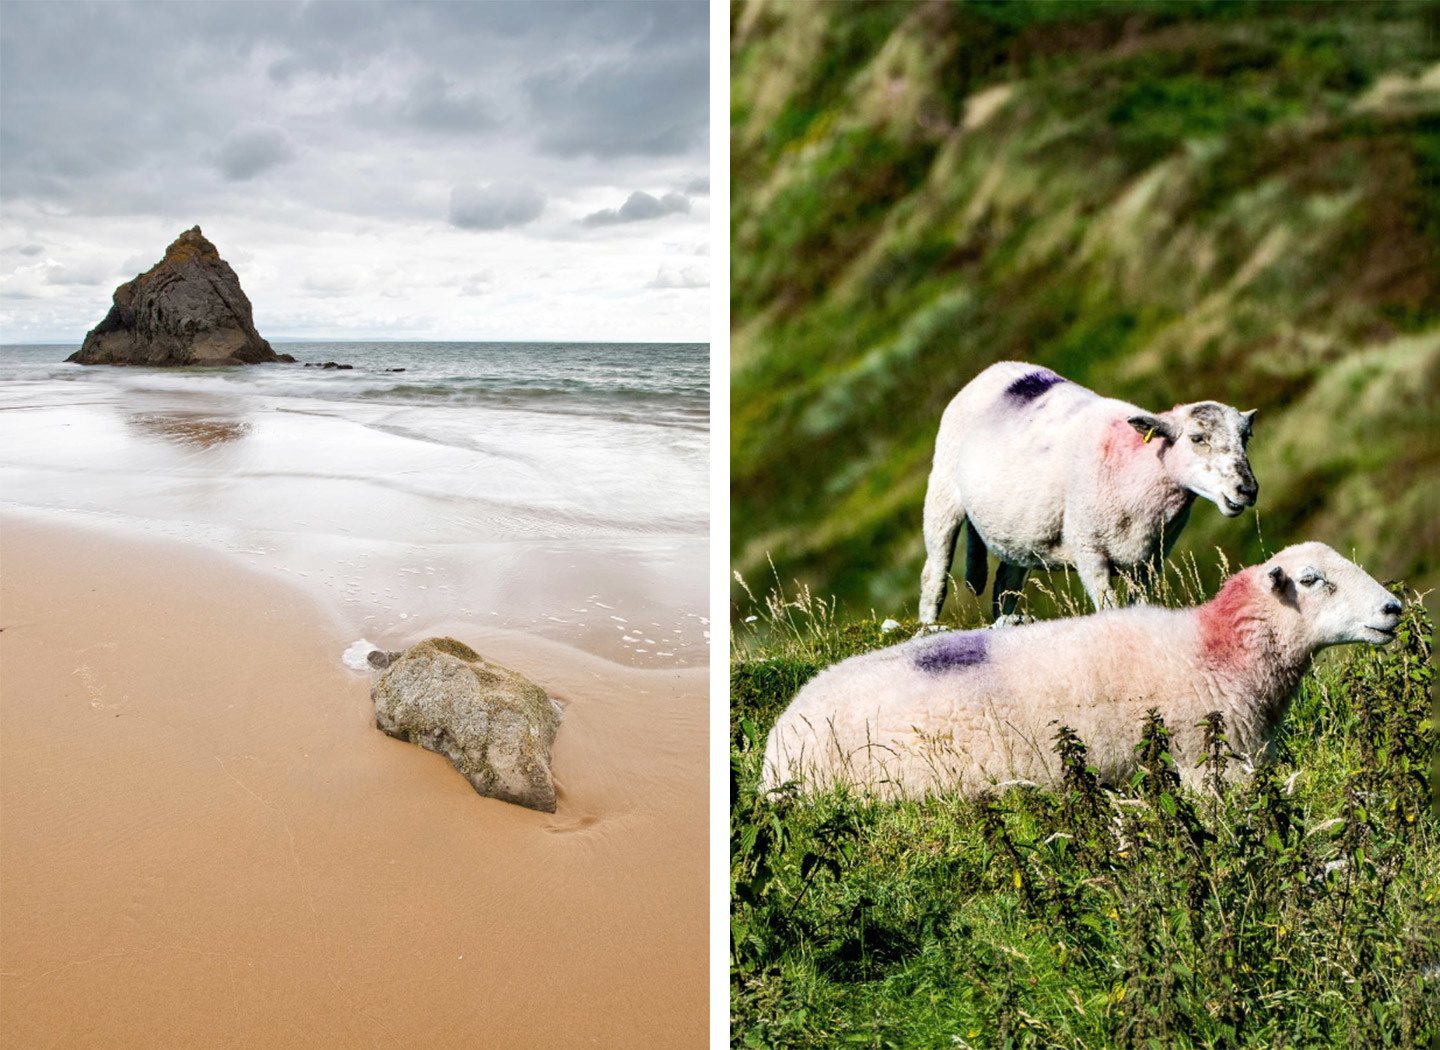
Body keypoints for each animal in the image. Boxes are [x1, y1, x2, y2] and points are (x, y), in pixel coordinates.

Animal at [921, 360, 1261, 622]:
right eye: (1197, 438)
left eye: (1246, 436)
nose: (1247, 489)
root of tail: (995, 369)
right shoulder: (1089, 552)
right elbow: (1109, 609)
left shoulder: (1150, 562)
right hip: (943, 489)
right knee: (933, 572)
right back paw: (929, 626)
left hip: (1019, 533)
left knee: (1005, 582)